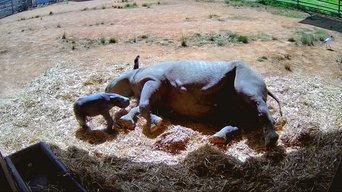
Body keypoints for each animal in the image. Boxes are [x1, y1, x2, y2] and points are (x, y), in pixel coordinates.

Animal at [105, 60, 282, 148]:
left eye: (108, 87)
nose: (105, 89)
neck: (133, 76)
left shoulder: (155, 80)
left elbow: (142, 105)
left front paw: (155, 124)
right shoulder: (159, 99)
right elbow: (141, 106)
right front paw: (127, 121)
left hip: (247, 74)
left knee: (252, 97)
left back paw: (270, 141)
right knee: (238, 116)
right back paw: (217, 138)